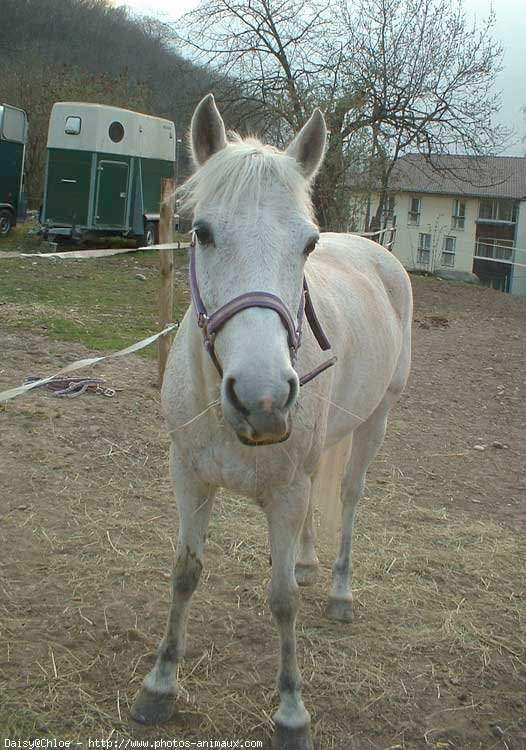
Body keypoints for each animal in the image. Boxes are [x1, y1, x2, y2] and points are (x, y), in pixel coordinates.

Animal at [131, 95, 412, 750]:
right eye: (201, 232)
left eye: (306, 245)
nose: (262, 399)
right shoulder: (189, 477)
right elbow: (184, 573)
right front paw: (160, 684)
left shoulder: (284, 493)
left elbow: (282, 600)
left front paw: (291, 713)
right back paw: (309, 562)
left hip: (376, 420)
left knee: (350, 496)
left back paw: (338, 590)